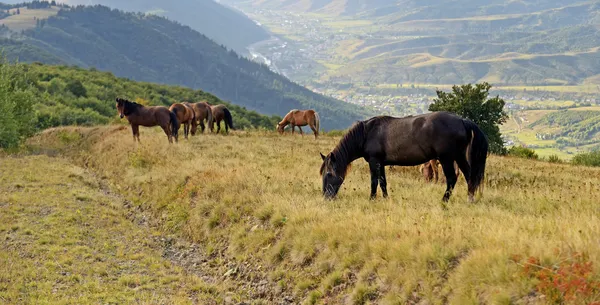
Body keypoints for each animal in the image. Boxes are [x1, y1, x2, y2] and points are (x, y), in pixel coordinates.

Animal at [318, 111, 488, 202]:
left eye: (329, 173)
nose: (326, 197)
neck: (366, 133)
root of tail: (462, 120)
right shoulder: (381, 163)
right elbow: (383, 182)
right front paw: (386, 199)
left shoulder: (374, 161)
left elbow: (374, 182)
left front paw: (372, 199)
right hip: (459, 157)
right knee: (469, 176)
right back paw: (470, 199)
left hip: (446, 158)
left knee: (452, 179)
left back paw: (444, 201)